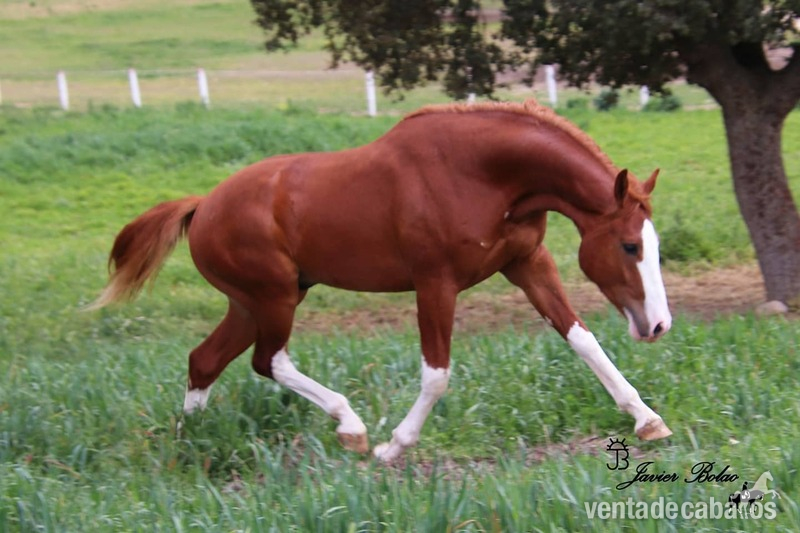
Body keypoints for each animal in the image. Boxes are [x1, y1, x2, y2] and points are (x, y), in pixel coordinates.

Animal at [90, 100, 673, 463]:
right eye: (629, 245)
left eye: (653, 242)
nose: (659, 326)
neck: (481, 173)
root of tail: (203, 205)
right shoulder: (435, 282)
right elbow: (436, 374)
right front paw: (393, 447)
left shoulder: (528, 263)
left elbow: (584, 341)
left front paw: (647, 420)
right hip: (273, 297)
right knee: (267, 360)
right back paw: (350, 427)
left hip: (251, 302)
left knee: (205, 360)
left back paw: (191, 440)